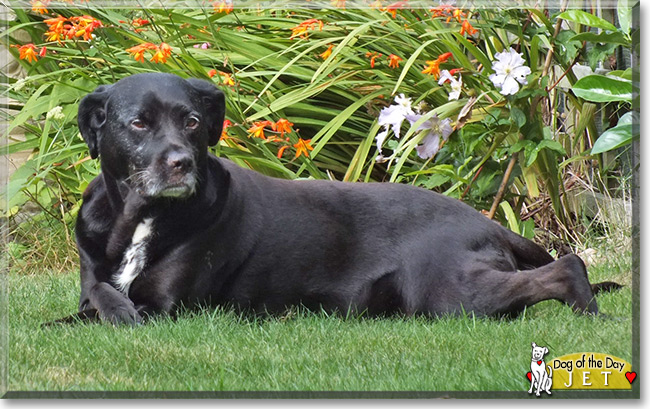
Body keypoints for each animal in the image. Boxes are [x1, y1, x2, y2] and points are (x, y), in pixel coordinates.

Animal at [50, 71, 612, 324]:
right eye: (139, 123)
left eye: (190, 121)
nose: (181, 162)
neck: (141, 218)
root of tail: (488, 222)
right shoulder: (95, 279)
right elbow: (95, 296)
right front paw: (109, 307)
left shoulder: (171, 307)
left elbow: (98, 312)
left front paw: (115, 315)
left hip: (448, 293)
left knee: (566, 265)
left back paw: (587, 308)